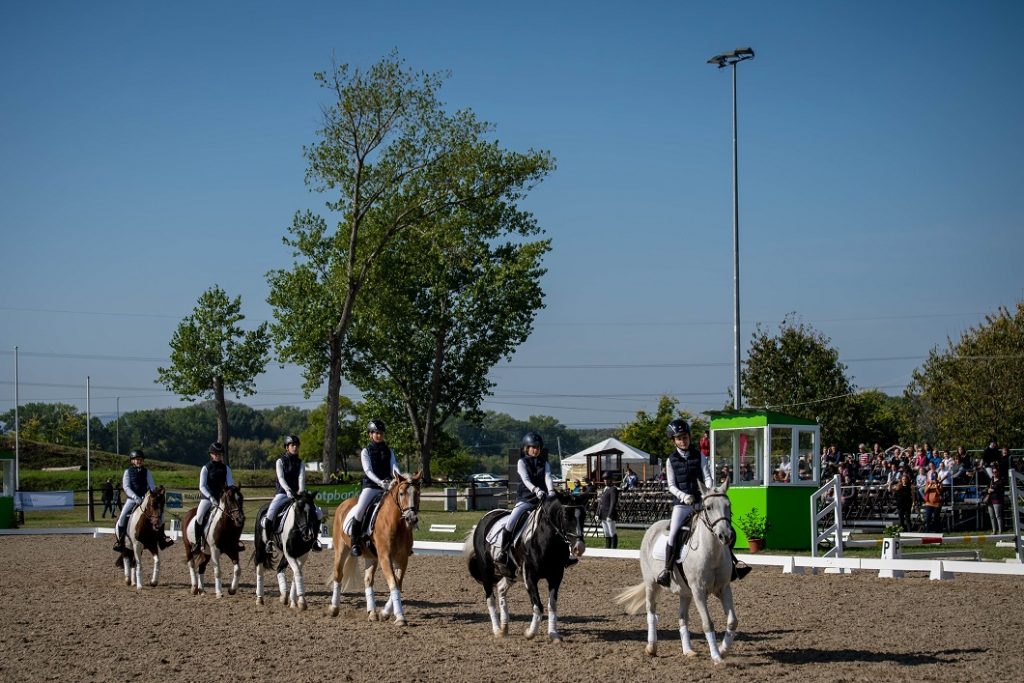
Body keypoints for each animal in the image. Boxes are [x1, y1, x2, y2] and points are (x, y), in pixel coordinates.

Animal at [329, 475, 421, 626]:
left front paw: (384, 613)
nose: (411, 518)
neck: (396, 523)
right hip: (341, 549)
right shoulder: (385, 558)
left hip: (370, 557)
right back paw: (334, 609)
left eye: (418, 493)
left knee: (368, 580)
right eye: (401, 493)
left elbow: (398, 584)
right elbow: (393, 584)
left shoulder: (402, 559)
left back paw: (372, 613)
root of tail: (343, 504)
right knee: (338, 575)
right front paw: (400, 617)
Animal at [468, 491, 589, 643]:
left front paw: (553, 634)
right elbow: (538, 606)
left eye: (583, 516)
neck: (546, 540)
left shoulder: (556, 577)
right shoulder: (530, 577)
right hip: (486, 571)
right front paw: (530, 633)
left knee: (501, 589)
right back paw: (497, 630)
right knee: (490, 599)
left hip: (512, 573)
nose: (579, 548)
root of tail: (486, 518)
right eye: (566, 516)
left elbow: (552, 606)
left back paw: (504, 627)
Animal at [610, 481, 741, 663]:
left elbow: (732, 621)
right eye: (708, 507)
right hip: (652, 585)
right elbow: (708, 623)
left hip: (685, 592)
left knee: (682, 618)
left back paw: (688, 650)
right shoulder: (699, 591)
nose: (726, 535)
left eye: (728, 505)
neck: (711, 553)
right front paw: (716, 657)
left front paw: (722, 650)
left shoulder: (724, 588)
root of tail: (653, 527)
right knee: (651, 612)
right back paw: (651, 647)